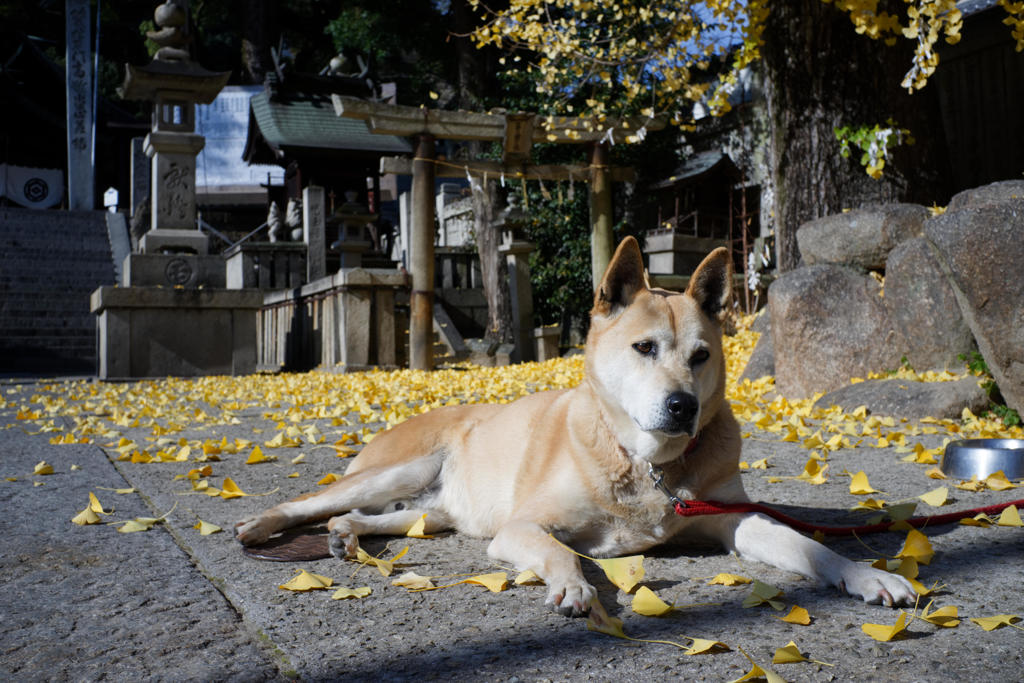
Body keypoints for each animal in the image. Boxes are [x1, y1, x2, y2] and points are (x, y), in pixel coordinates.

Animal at [235, 237, 917, 618]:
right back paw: (260, 526)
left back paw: (346, 536)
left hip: (435, 511)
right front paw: (574, 587)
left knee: (364, 518)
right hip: (401, 470)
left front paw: (868, 575)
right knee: (309, 503)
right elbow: (563, 552)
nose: (683, 407)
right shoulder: (521, 527)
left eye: (701, 356)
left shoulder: (733, 518)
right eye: (644, 348)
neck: (644, 463)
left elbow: (809, 545)